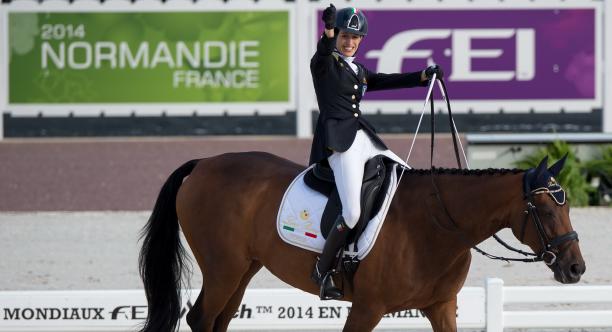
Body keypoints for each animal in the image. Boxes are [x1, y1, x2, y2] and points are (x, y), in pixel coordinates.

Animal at [137, 152, 584, 330]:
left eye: (568, 207)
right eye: (546, 212)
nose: (575, 268)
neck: (438, 223)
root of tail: (204, 164)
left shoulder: (441, 307)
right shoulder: (368, 308)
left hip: (242, 269)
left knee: (219, 320)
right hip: (223, 268)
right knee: (200, 319)